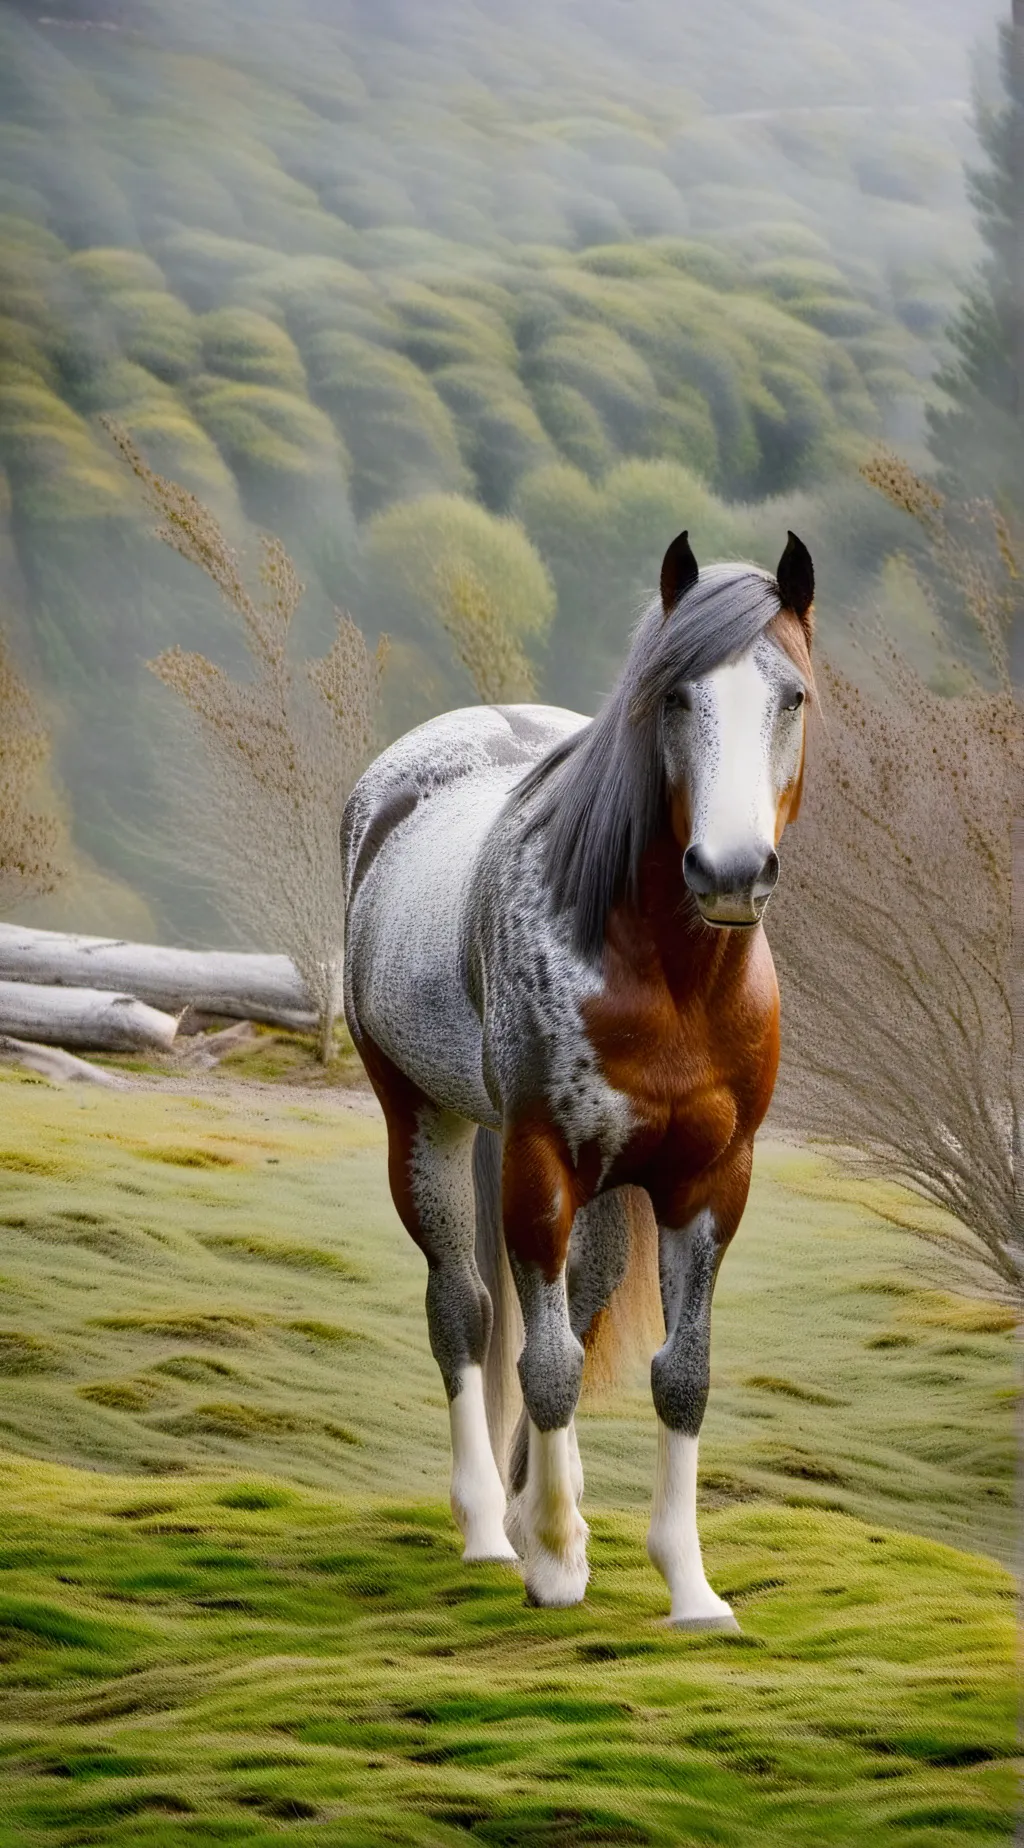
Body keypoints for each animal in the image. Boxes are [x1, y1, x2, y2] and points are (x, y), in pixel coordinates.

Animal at [343, 530, 815, 1626]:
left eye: (793, 696)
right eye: (674, 696)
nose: (731, 872)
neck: (665, 977)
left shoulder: (710, 1180)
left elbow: (681, 1373)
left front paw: (689, 1587)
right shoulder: (540, 1162)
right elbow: (547, 1361)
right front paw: (556, 1560)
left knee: (578, 1305)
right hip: (424, 1125)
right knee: (467, 1311)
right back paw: (490, 1528)